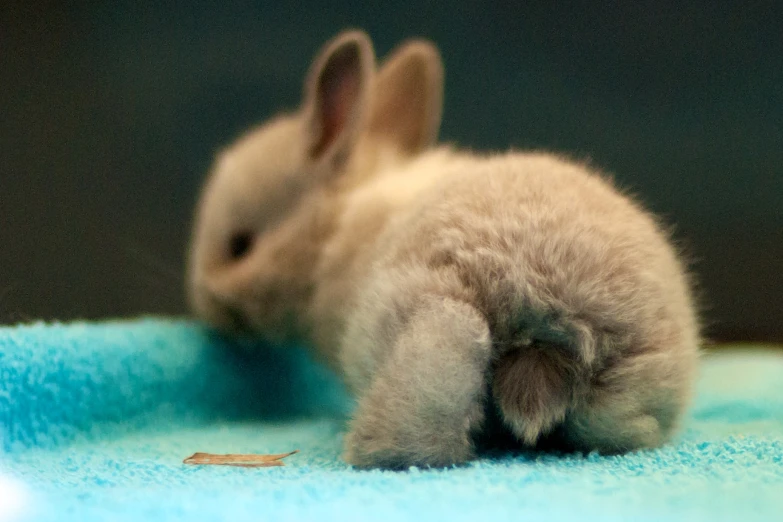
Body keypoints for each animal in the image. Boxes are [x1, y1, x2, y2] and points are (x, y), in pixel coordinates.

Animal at [188, 29, 700, 468]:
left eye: (240, 247)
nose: (206, 306)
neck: (337, 228)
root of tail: (558, 315)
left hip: (432, 321)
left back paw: (368, 450)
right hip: (631, 385)